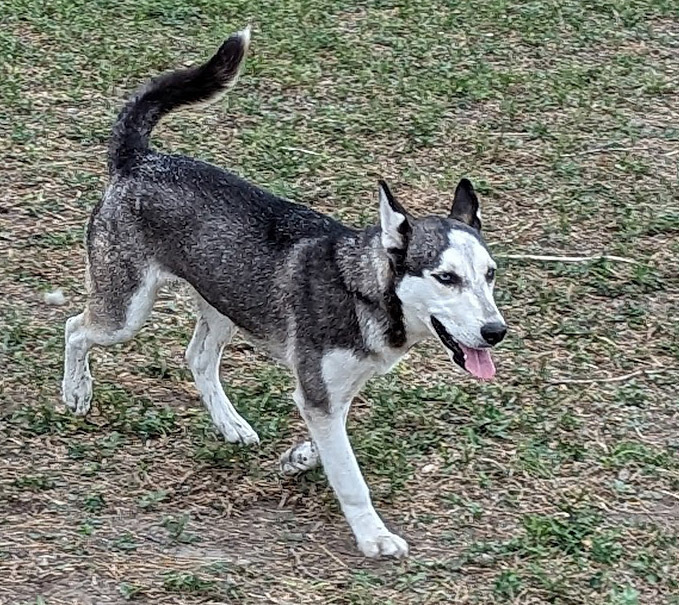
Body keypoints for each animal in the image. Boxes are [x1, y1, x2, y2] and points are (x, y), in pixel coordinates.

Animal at [62, 28, 504, 556]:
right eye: (446, 278)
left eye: (490, 274)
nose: (496, 331)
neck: (362, 289)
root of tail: (140, 160)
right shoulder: (320, 395)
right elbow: (350, 477)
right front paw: (373, 536)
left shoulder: (330, 394)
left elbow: (330, 449)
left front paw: (299, 457)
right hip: (126, 310)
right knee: (75, 328)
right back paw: (76, 392)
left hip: (223, 301)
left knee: (198, 358)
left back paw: (229, 423)